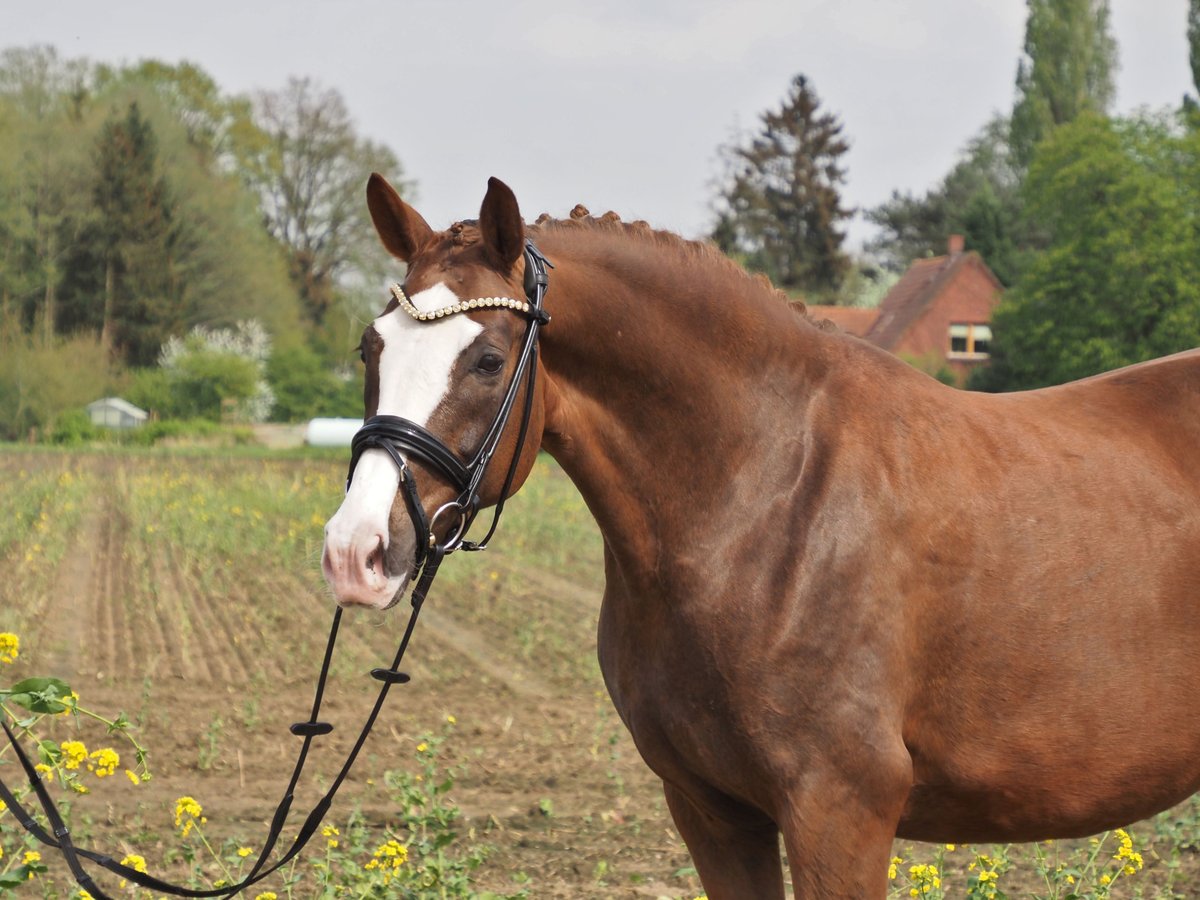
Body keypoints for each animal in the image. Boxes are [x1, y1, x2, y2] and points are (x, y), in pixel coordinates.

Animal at [324, 172, 1200, 897]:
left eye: (486, 359)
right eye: (370, 346)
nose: (353, 552)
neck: (769, 501)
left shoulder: (839, 812)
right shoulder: (712, 811)